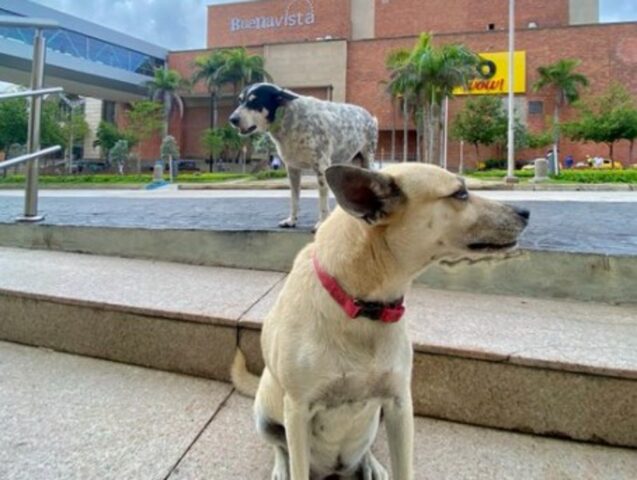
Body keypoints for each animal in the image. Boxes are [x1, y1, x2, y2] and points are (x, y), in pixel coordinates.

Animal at [230, 82, 376, 229]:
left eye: (255, 101)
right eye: (240, 101)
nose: (232, 119)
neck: (288, 119)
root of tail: (370, 116)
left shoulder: (321, 167)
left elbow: (322, 199)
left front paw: (322, 222)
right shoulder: (292, 169)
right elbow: (294, 198)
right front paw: (291, 220)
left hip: (368, 159)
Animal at [231, 163, 528, 478]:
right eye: (460, 193)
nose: (526, 212)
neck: (364, 306)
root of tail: (333, 468)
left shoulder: (400, 405)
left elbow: (404, 468)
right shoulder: (298, 410)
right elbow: (296, 462)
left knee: (365, 448)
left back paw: (370, 465)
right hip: (265, 415)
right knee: (279, 446)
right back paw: (281, 467)